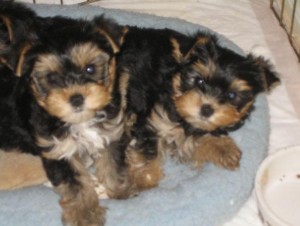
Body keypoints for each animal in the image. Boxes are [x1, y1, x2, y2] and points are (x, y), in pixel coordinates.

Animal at [0, 1, 127, 224]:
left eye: (90, 69)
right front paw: (86, 216)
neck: (79, 121)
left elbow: (111, 163)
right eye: (51, 78)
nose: (76, 98)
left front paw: (119, 191)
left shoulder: (110, 133)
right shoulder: (57, 149)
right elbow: (76, 185)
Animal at [116, 26, 280, 194]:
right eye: (199, 81)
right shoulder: (154, 121)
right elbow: (147, 152)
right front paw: (145, 181)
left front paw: (224, 148)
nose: (206, 109)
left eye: (232, 95)